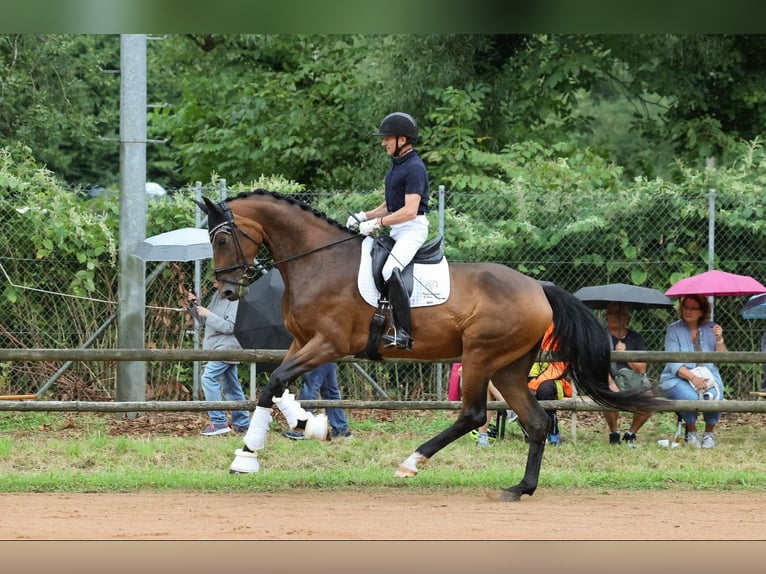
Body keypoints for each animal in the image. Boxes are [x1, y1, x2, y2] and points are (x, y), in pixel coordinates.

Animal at [196, 189, 660, 501]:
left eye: (222, 239)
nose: (227, 290)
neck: (319, 260)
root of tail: (539, 287)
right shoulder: (301, 341)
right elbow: (274, 386)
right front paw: (302, 427)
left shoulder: (328, 344)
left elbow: (275, 381)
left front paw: (254, 453)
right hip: (509, 368)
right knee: (538, 422)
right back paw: (520, 488)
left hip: (479, 357)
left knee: (474, 415)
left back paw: (412, 462)